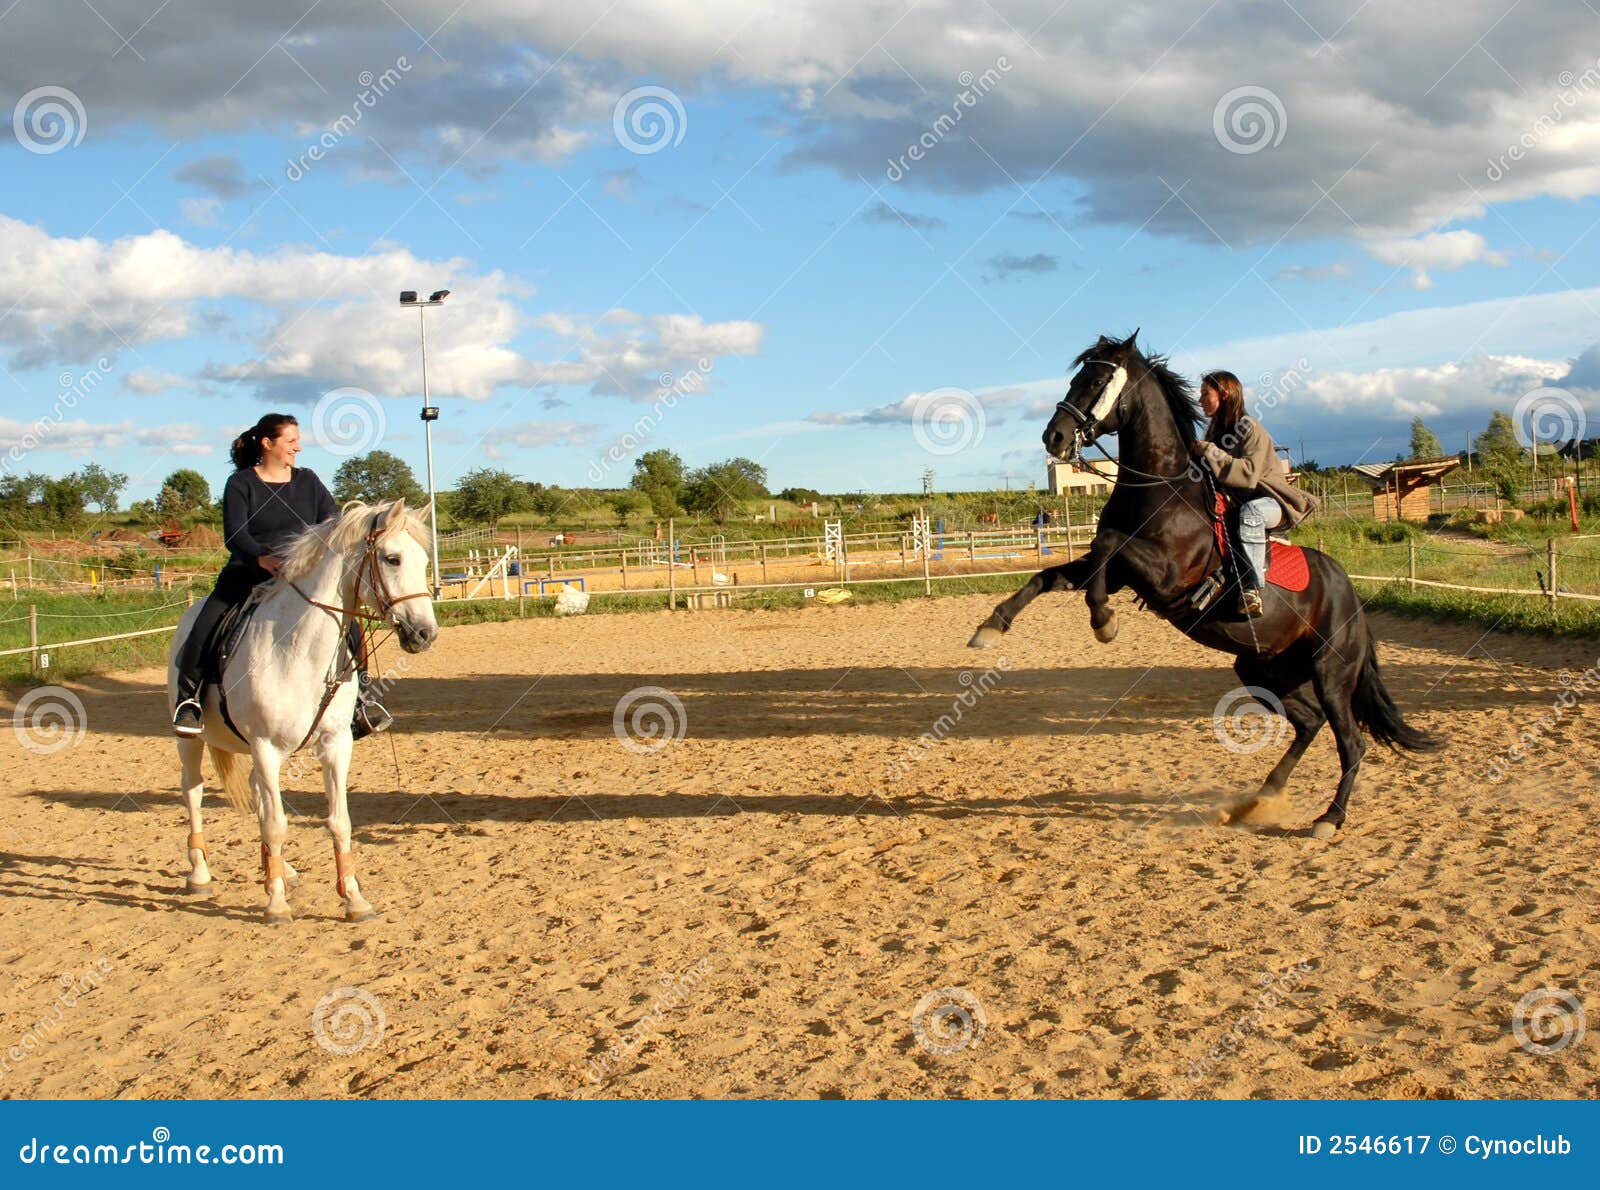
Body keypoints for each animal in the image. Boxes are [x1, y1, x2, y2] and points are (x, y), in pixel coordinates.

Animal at [166, 495, 441, 927]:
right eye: (392, 558)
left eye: (425, 560)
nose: (426, 634)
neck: (297, 649)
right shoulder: (265, 746)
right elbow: (277, 823)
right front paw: (276, 905)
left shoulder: (335, 744)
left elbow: (338, 821)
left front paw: (354, 899)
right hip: (192, 742)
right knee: (193, 791)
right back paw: (200, 875)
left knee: (258, 796)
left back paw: (279, 870)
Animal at [966, 329, 1446, 844]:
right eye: (1076, 378)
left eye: (1095, 380)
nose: (1053, 437)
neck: (1159, 488)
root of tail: (1351, 596)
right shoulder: (1117, 571)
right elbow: (1051, 575)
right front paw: (990, 627)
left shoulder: (1163, 574)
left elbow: (1110, 546)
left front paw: (1104, 622)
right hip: (1262, 669)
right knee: (1308, 722)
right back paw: (1256, 801)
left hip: (1331, 673)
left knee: (1351, 742)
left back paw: (1328, 818)